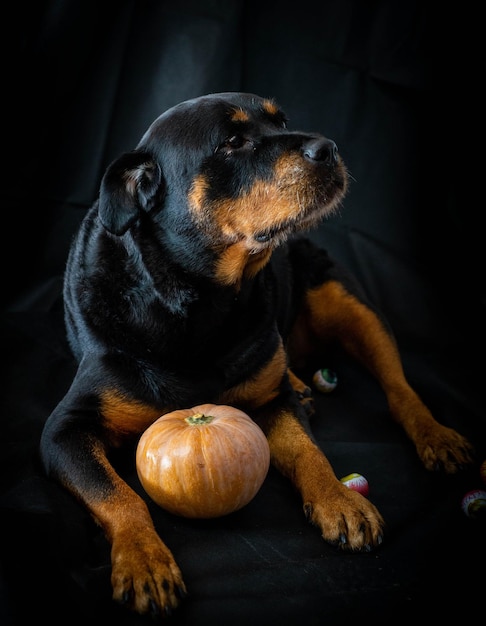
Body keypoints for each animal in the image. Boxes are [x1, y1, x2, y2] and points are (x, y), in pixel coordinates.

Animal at [39, 92, 472, 616]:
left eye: (281, 122)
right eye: (232, 142)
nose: (328, 148)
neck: (200, 303)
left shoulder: (271, 400)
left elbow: (308, 451)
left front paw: (340, 500)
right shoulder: (64, 431)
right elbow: (120, 496)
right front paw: (144, 559)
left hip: (347, 301)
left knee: (398, 388)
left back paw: (434, 434)